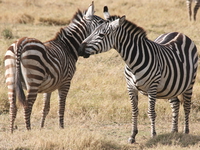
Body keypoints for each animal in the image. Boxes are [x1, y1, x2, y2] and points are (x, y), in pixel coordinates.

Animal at [3, 2, 105, 133]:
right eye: (101, 23)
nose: (83, 52)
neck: (68, 47)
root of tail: (20, 43)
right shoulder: (66, 82)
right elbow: (61, 106)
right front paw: (61, 127)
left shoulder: (49, 86)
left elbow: (45, 108)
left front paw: (41, 127)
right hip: (34, 79)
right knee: (27, 105)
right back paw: (28, 130)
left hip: (11, 79)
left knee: (13, 106)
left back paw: (11, 131)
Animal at [78, 11, 198, 142]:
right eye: (91, 32)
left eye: (101, 35)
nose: (80, 49)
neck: (132, 62)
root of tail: (179, 33)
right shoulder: (130, 86)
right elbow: (134, 111)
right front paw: (133, 135)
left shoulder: (152, 87)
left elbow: (151, 112)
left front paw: (153, 135)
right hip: (171, 86)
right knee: (175, 104)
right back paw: (173, 131)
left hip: (189, 84)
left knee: (186, 106)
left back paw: (186, 132)